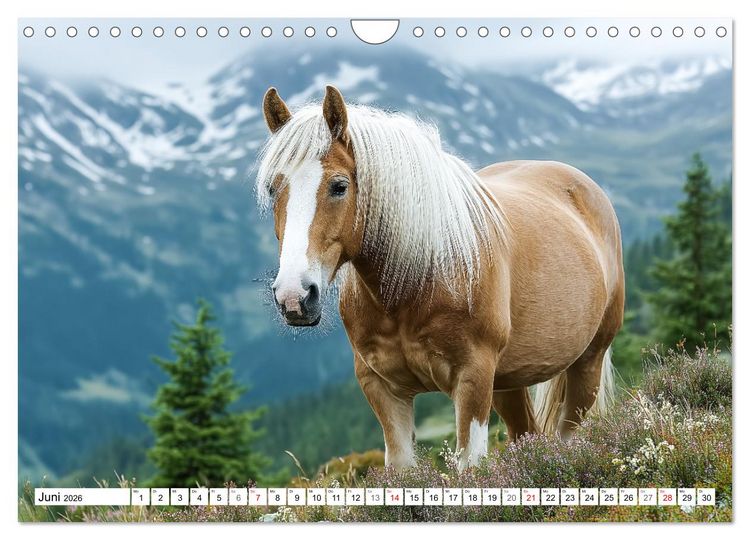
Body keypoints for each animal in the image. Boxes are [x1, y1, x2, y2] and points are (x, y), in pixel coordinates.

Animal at [256, 85, 624, 471]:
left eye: (339, 186)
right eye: (272, 189)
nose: (295, 297)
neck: (419, 279)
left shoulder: (473, 380)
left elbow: (469, 466)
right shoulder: (382, 388)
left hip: (587, 363)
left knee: (569, 432)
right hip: (508, 382)